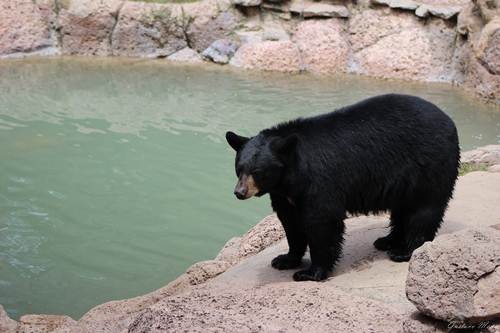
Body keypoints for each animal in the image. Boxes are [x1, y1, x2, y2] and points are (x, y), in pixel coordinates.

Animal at [227, 93, 460, 280]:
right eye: (239, 168)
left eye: (258, 171)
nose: (239, 192)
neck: (291, 175)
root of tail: (449, 120)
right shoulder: (284, 194)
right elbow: (291, 222)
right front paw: (285, 259)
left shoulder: (319, 182)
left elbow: (322, 222)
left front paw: (310, 272)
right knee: (402, 209)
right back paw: (387, 240)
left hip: (429, 165)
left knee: (423, 210)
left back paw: (405, 250)